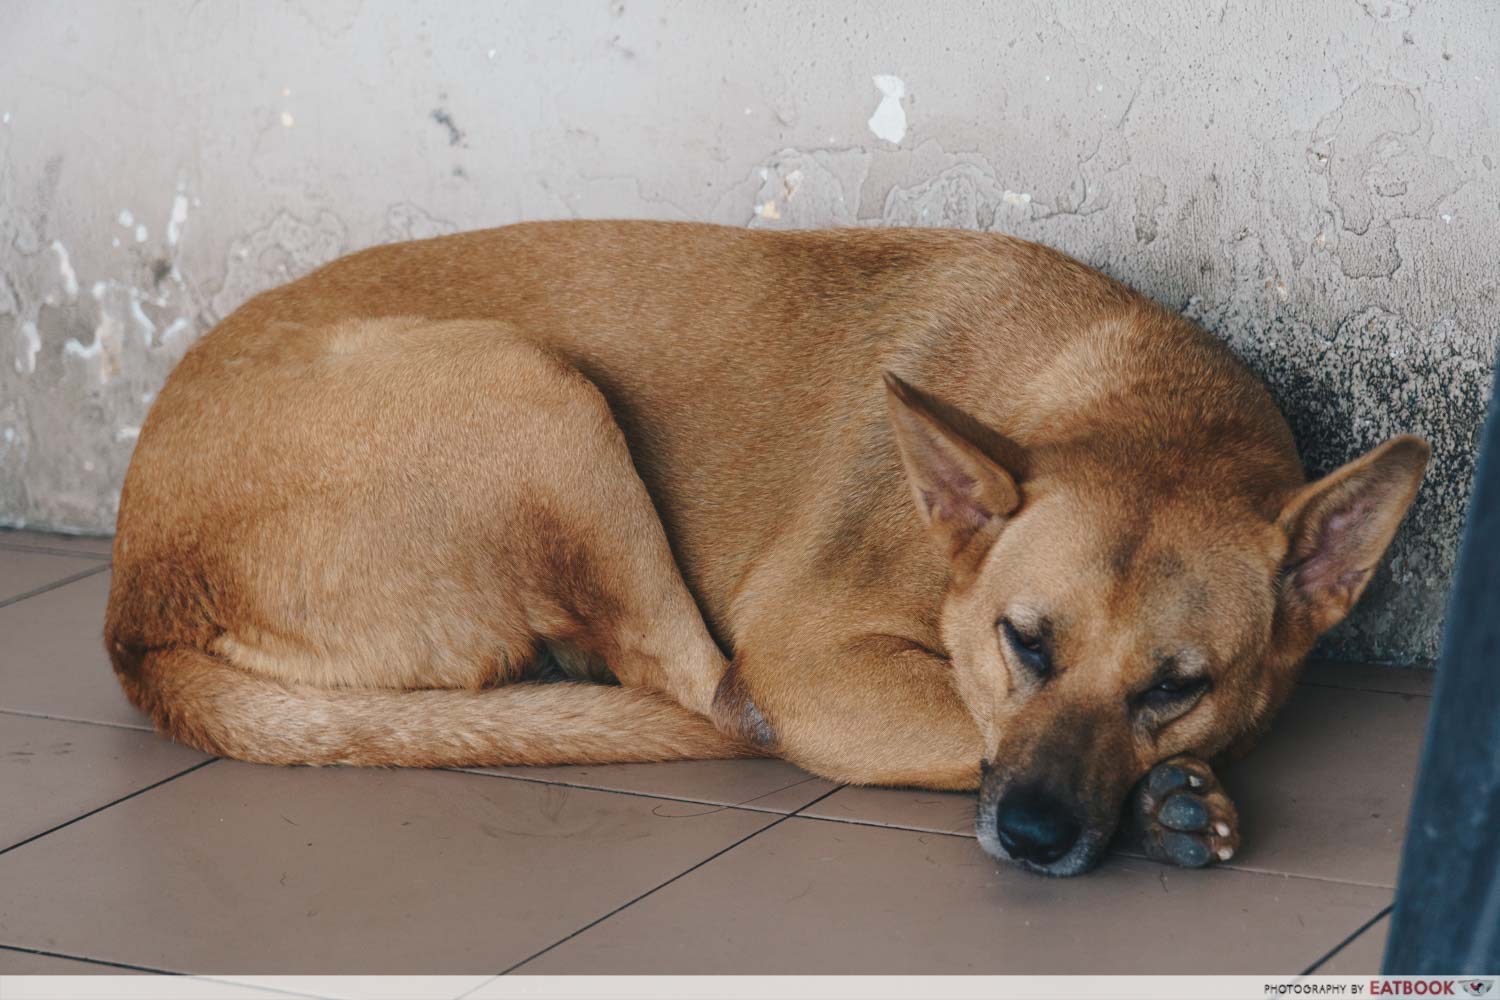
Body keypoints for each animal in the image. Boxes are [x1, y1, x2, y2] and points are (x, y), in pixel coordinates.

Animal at [108, 220, 1428, 875]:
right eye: (1024, 643)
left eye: (1176, 686)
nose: (1037, 838)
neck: (1144, 404)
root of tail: (134, 597)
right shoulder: (816, 660)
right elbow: (955, 723)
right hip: (538, 389)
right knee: (706, 690)